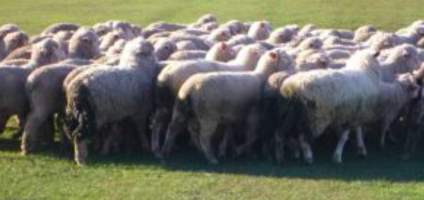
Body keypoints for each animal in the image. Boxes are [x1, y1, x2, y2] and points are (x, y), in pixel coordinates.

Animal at [64, 37, 159, 166]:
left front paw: (106, 149)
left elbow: (111, 132)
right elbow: (141, 130)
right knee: (78, 135)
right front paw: (146, 146)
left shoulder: (115, 114)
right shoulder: (140, 112)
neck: (137, 66)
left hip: (74, 112)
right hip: (90, 115)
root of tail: (76, 87)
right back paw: (81, 160)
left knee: (70, 131)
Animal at [161, 49, 294, 163]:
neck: (263, 76)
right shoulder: (253, 116)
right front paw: (240, 151)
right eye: (286, 60)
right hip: (208, 116)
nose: (294, 72)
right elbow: (252, 136)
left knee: (173, 128)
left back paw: (166, 150)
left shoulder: (232, 116)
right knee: (203, 137)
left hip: (180, 109)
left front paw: (225, 150)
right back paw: (211, 158)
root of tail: (190, 88)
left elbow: (229, 134)